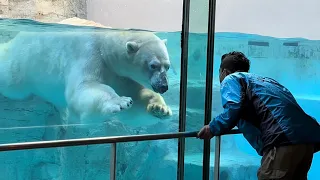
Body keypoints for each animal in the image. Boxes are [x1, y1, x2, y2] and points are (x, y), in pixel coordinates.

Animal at [0, 26, 172, 123]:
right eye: (153, 65)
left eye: (168, 66)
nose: (163, 86)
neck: (104, 46)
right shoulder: (90, 54)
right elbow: (85, 87)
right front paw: (120, 101)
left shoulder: (118, 74)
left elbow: (137, 94)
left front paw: (159, 108)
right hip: (21, 65)